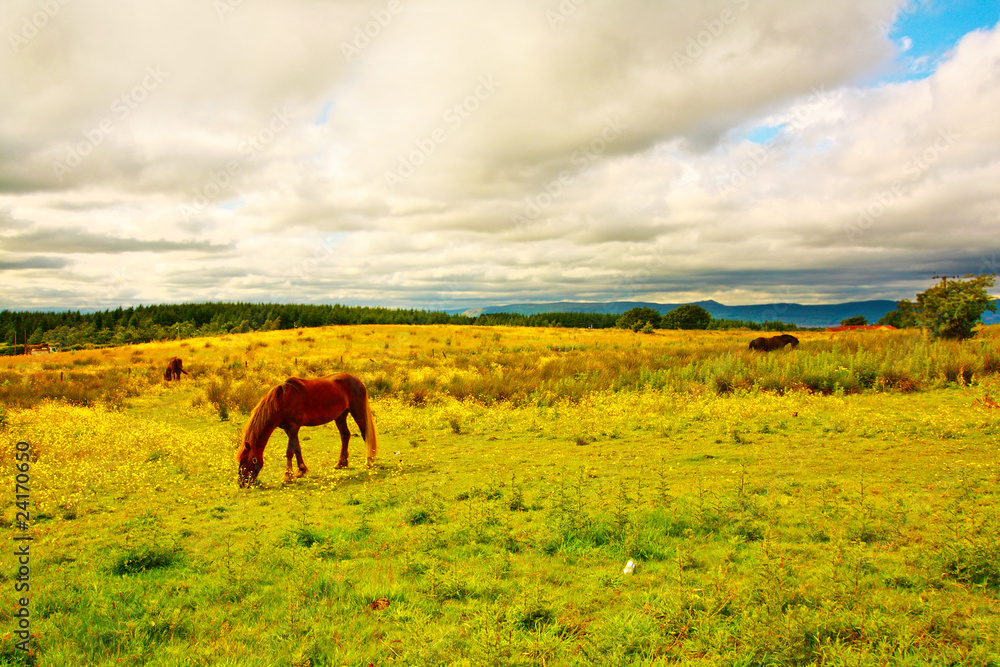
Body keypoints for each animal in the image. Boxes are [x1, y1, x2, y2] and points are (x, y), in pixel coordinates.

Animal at [236, 373, 378, 488]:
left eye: (246, 461)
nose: (242, 483)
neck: (282, 400)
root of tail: (358, 381)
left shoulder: (293, 427)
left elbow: (289, 452)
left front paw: (287, 476)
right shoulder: (289, 430)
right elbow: (297, 449)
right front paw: (301, 470)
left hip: (357, 411)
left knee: (365, 434)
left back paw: (369, 461)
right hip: (341, 416)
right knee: (345, 435)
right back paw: (341, 463)